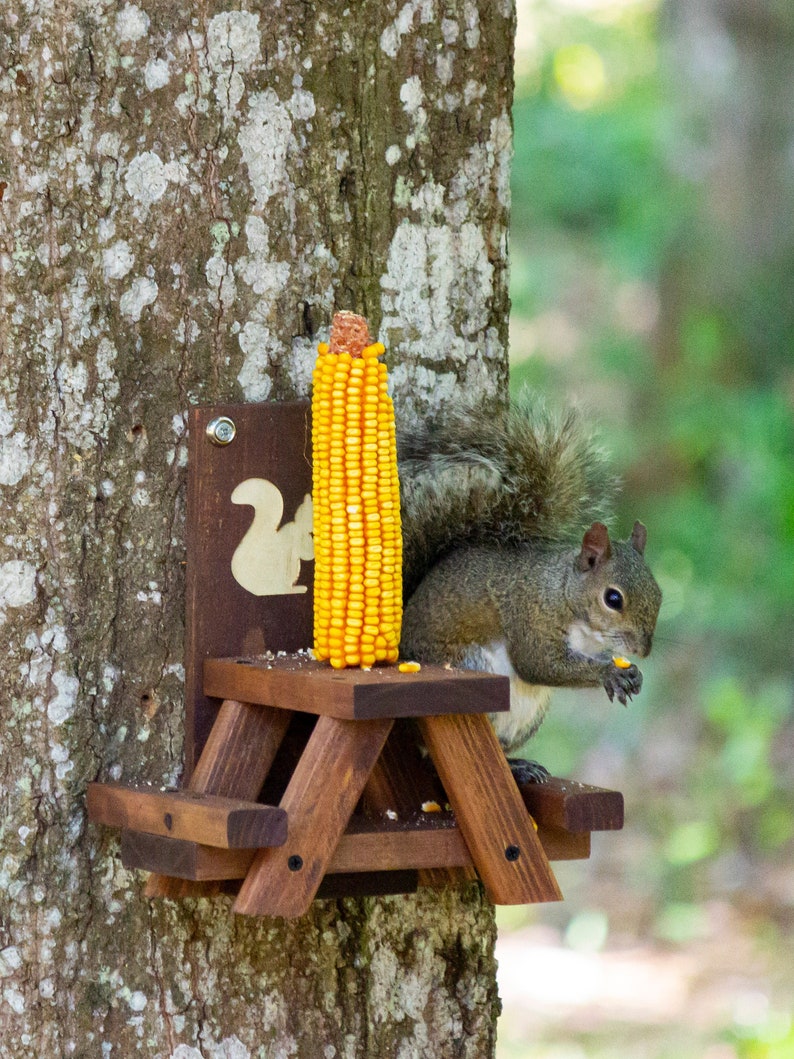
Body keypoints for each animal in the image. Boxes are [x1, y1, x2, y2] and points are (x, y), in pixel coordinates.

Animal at [397, 392, 662, 783]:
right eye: (613, 598)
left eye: (659, 594)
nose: (643, 650)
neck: (562, 592)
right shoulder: (531, 615)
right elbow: (538, 663)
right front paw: (609, 672)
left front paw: (630, 672)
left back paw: (518, 765)